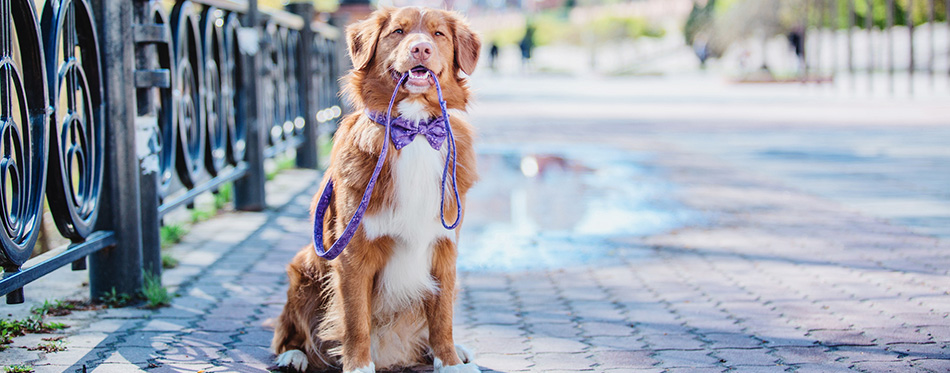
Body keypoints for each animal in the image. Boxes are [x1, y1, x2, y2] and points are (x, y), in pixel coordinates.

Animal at [272, 5, 484, 372]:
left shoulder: (445, 249)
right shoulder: (353, 255)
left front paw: (450, 361)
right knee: (291, 329)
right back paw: (292, 355)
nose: (421, 48)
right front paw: (358, 366)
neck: (413, 131)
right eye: (398, 31)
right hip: (304, 266)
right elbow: (355, 320)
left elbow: (442, 317)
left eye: (438, 34)